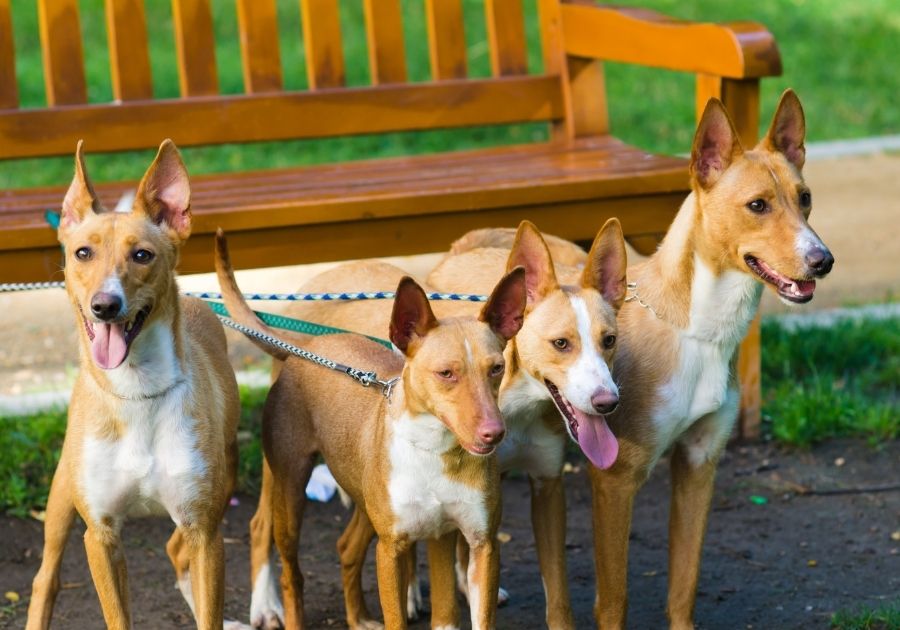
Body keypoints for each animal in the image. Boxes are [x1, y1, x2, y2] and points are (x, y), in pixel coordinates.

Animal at [26, 142, 243, 630]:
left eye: (142, 255)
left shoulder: (205, 532)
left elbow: (209, 608)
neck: (137, 392)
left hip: (223, 485)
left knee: (176, 551)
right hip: (61, 493)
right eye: (82, 253)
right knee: (45, 577)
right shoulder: (100, 536)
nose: (105, 305)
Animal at [442, 90, 836, 630]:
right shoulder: (615, 480)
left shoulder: (699, 463)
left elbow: (683, 587)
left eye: (806, 198)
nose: (823, 260)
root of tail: (465, 247)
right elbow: (614, 600)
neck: (700, 334)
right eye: (757, 205)